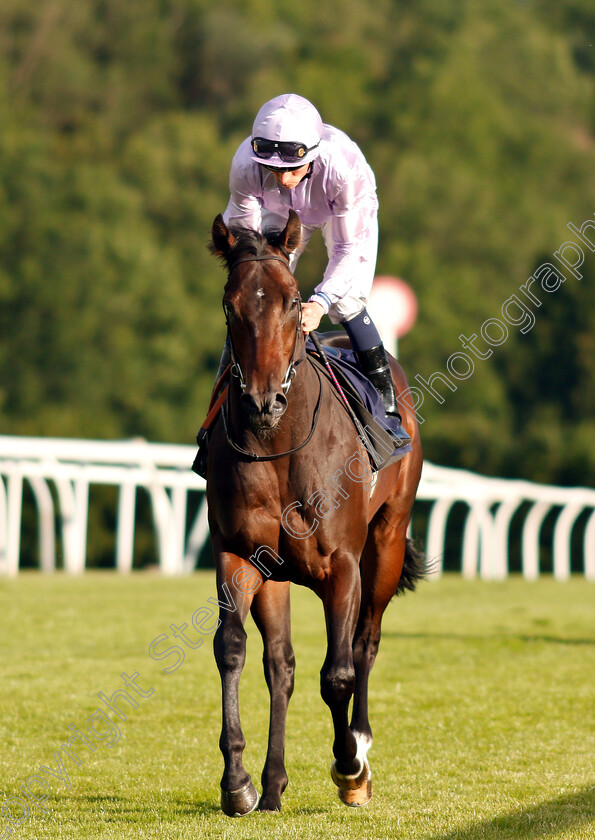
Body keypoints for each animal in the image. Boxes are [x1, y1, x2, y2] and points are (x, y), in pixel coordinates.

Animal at [204, 208, 424, 812]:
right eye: (230, 304)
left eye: (291, 300)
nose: (261, 401)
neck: (279, 446)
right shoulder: (239, 555)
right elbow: (233, 649)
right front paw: (239, 782)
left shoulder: (343, 564)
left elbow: (339, 673)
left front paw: (349, 765)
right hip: (278, 573)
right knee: (280, 665)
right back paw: (274, 782)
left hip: (387, 540)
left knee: (366, 643)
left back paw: (360, 747)